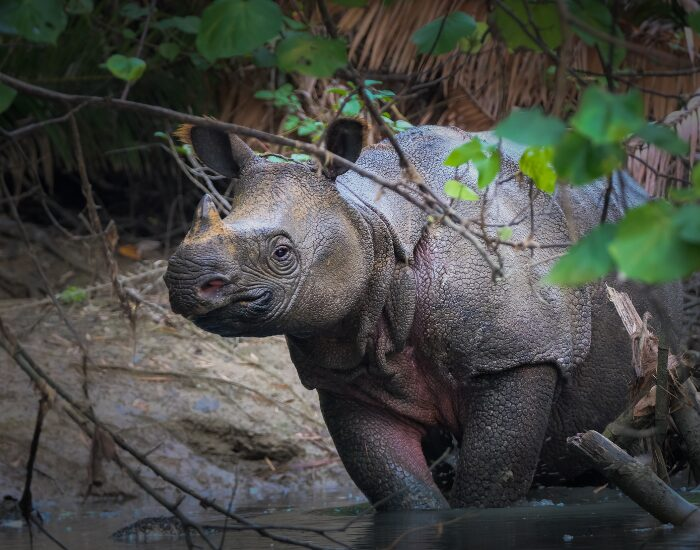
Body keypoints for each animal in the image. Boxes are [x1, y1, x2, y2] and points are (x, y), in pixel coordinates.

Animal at [164, 120, 682, 510]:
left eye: (282, 253)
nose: (184, 283)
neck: (372, 231)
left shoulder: (519, 353)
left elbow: (488, 486)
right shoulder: (347, 373)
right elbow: (403, 492)